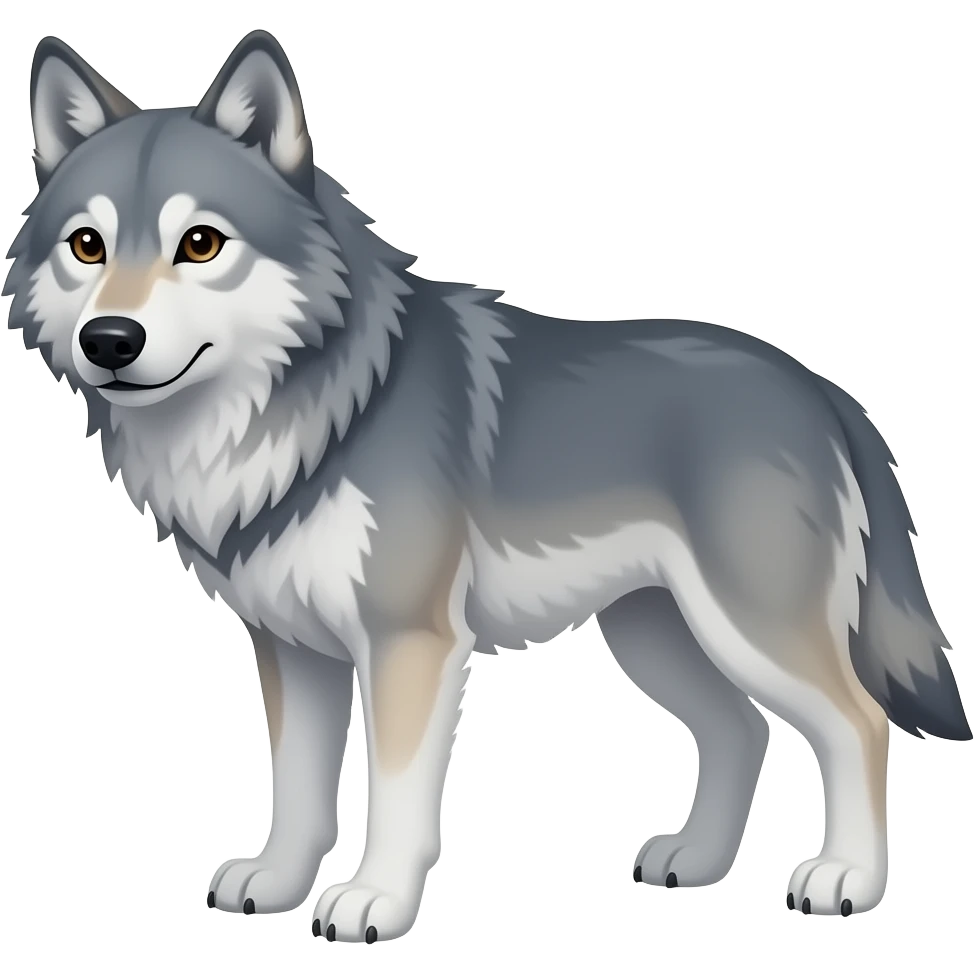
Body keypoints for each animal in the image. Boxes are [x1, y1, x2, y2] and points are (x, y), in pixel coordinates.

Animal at [4, 28, 969, 941]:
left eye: (199, 243)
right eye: (86, 245)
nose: (110, 340)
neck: (318, 412)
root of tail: (822, 389)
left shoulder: (409, 643)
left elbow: (394, 796)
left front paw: (374, 904)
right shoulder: (293, 648)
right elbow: (299, 790)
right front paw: (277, 886)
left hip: (750, 629)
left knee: (857, 723)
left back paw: (845, 879)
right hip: (656, 637)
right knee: (744, 728)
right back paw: (696, 860)